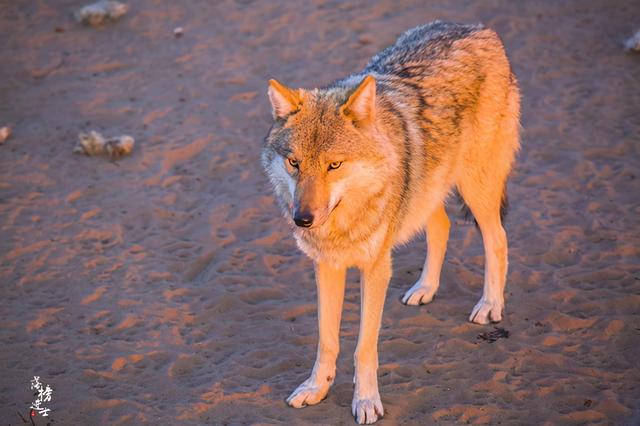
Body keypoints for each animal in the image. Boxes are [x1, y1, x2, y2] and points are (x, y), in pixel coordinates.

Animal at [260, 21, 520, 424]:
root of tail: (480, 28)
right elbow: (327, 339)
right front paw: (316, 389)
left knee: (498, 239)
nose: (302, 219)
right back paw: (425, 289)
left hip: (476, 188)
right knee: (442, 227)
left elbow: (364, 347)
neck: (344, 224)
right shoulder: (327, 266)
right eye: (294, 163)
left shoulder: (376, 268)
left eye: (334, 165)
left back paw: (490, 305)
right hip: (428, 190)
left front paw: (366, 401)